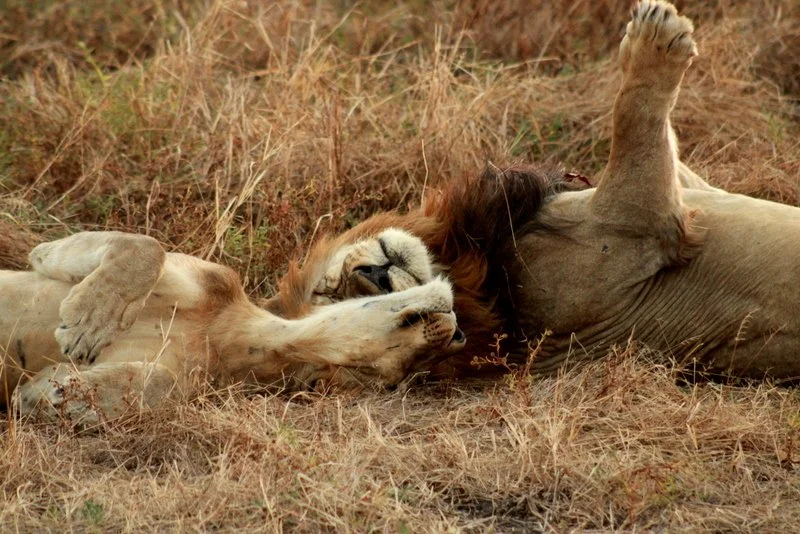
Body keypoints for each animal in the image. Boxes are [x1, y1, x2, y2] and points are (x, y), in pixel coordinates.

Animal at [0, 228, 465, 424]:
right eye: (332, 288)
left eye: (395, 378)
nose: (453, 335)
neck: (226, 340)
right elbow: (145, 247)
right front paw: (85, 323)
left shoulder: (189, 382)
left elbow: (159, 383)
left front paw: (61, 395)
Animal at [286, 0, 800, 381]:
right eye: (351, 305)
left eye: (332, 289)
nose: (374, 275)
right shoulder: (641, 223)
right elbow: (633, 117)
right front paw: (654, 38)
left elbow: (680, 161)